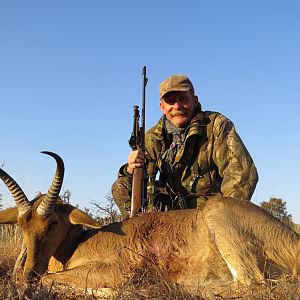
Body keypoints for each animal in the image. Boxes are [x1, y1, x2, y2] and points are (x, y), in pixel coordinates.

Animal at [0, 152, 298, 290]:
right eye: (22, 225)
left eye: (52, 223)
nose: (28, 272)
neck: (79, 242)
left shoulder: (115, 271)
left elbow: (51, 277)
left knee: (252, 282)